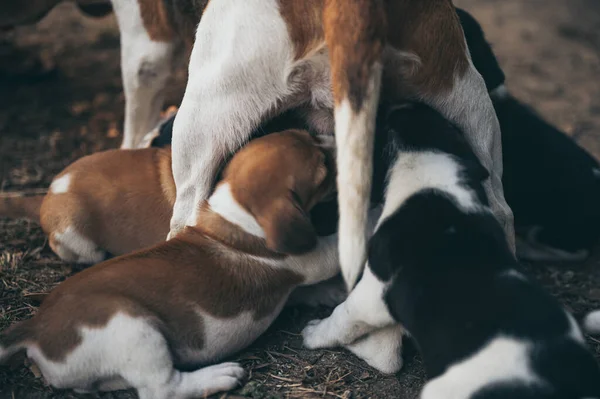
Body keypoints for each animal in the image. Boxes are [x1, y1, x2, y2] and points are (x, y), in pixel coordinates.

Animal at [0, 130, 356, 398]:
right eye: (324, 170)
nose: (334, 137)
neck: (234, 216)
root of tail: (34, 326)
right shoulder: (309, 259)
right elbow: (332, 250)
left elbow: (301, 292)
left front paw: (330, 293)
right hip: (133, 327)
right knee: (162, 389)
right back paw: (218, 376)